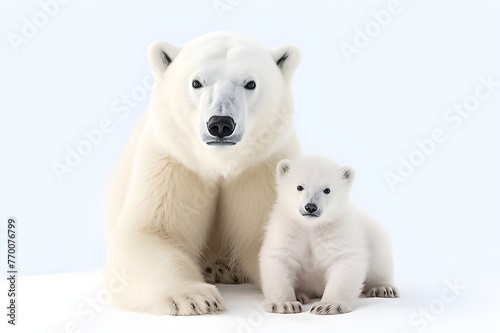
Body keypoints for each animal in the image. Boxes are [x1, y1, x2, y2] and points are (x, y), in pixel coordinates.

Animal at [106, 32, 300, 316]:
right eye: (197, 82)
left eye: (250, 83)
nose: (220, 124)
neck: (220, 163)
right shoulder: (174, 162)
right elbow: (151, 234)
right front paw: (193, 298)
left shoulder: (263, 167)